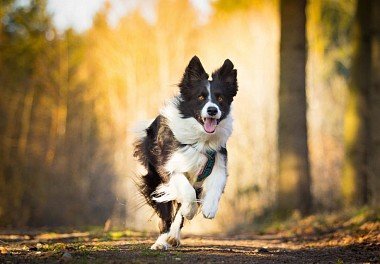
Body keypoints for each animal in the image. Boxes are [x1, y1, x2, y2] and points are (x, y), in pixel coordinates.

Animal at [134, 55, 238, 250]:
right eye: (200, 97)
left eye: (220, 98)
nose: (212, 110)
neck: (201, 139)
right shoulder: (169, 167)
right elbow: (186, 191)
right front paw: (190, 210)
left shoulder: (218, 160)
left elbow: (216, 184)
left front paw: (209, 208)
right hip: (155, 180)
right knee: (166, 214)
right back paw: (162, 241)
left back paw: (173, 236)